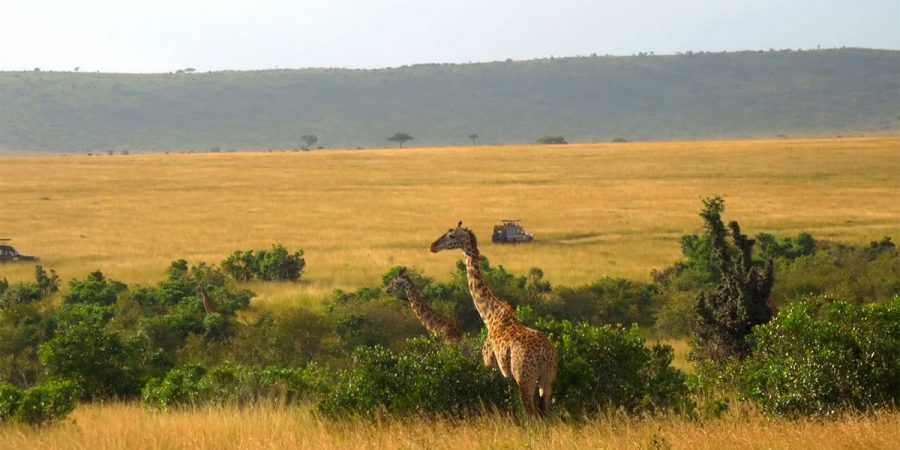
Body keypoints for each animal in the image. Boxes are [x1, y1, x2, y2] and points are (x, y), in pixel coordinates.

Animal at [430, 222, 564, 418]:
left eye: (451, 236)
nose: (433, 245)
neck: (490, 314)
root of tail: (546, 355)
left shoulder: (490, 362)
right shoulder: (508, 375)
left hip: (525, 378)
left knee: (532, 413)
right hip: (548, 380)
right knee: (545, 411)